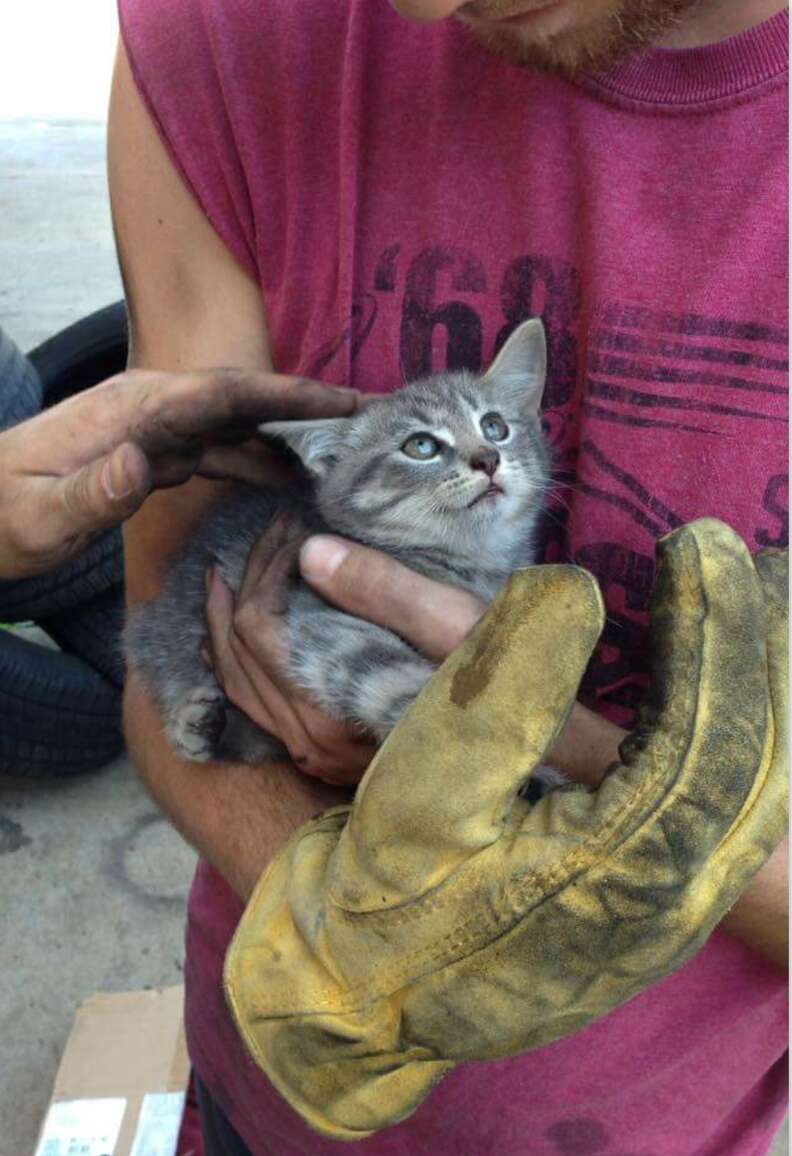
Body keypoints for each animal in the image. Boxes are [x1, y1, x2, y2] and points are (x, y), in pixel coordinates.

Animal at [123, 316, 550, 767]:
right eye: (421, 446)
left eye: (495, 426)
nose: (488, 458)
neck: (473, 562)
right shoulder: (323, 621)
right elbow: (407, 693)